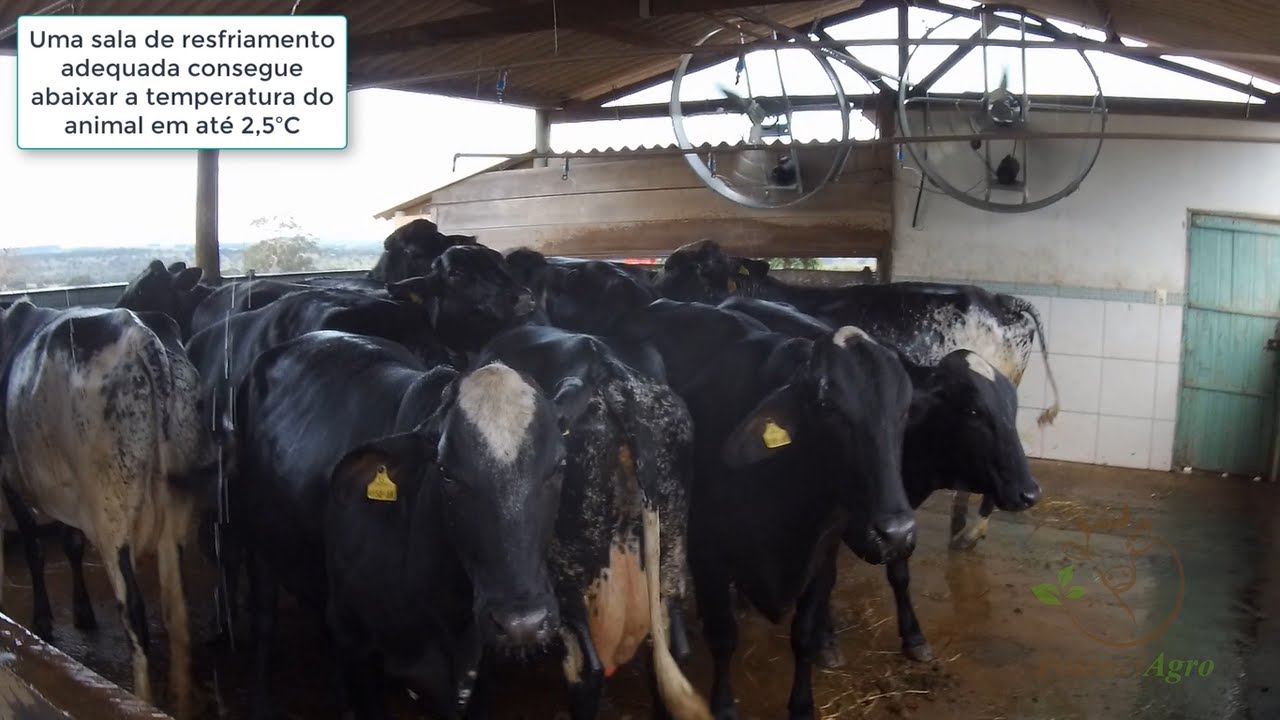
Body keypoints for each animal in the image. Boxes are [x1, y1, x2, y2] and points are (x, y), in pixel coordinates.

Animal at [0, 301, 217, 719]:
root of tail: (140, 334)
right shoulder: (68, 493)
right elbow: (70, 543)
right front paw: (82, 611)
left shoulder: (11, 479)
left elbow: (35, 548)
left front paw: (44, 621)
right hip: (173, 511)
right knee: (177, 612)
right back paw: (181, 701)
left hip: (111, 515)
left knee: (134, 613)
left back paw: (141, 700)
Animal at [233, 330, 574, 719]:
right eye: (446, 472)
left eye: (560, 465)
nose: (523, 622)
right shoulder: (356, 640)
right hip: (256, 538)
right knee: (264, 620)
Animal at [609, 299, 916, 719]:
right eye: (827, 406)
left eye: (904, 410)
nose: (896, 533)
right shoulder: (708, 556)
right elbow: (723, 636)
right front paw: (723, 704)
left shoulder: (822, 556)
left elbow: (803, 634)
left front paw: (802, 704)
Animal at [721, 296, 1042, 664]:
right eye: (974, 411)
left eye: (1012, 408)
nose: (1030, 492)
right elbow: (827, 578)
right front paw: (825, 638)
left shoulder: (898, 519)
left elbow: (899, 573)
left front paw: (914, 636)